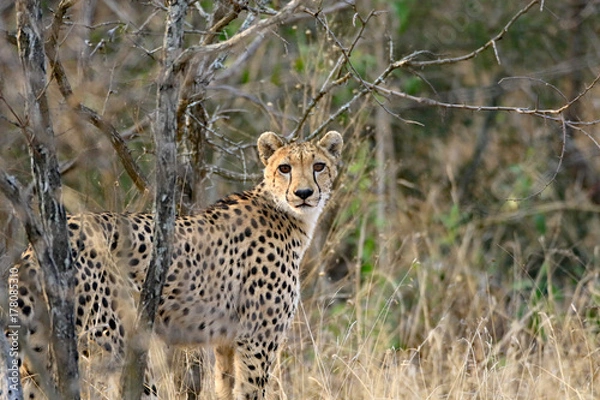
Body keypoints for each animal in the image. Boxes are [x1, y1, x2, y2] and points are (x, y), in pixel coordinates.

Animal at [12, 130, 342, 398]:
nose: (304, 193)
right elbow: (251, 392)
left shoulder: (226, 341)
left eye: (319, 166)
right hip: (117, 342)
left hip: (38, 348)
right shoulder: (257, 339)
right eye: (285, 168)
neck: (286, 213)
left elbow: (225, 388)